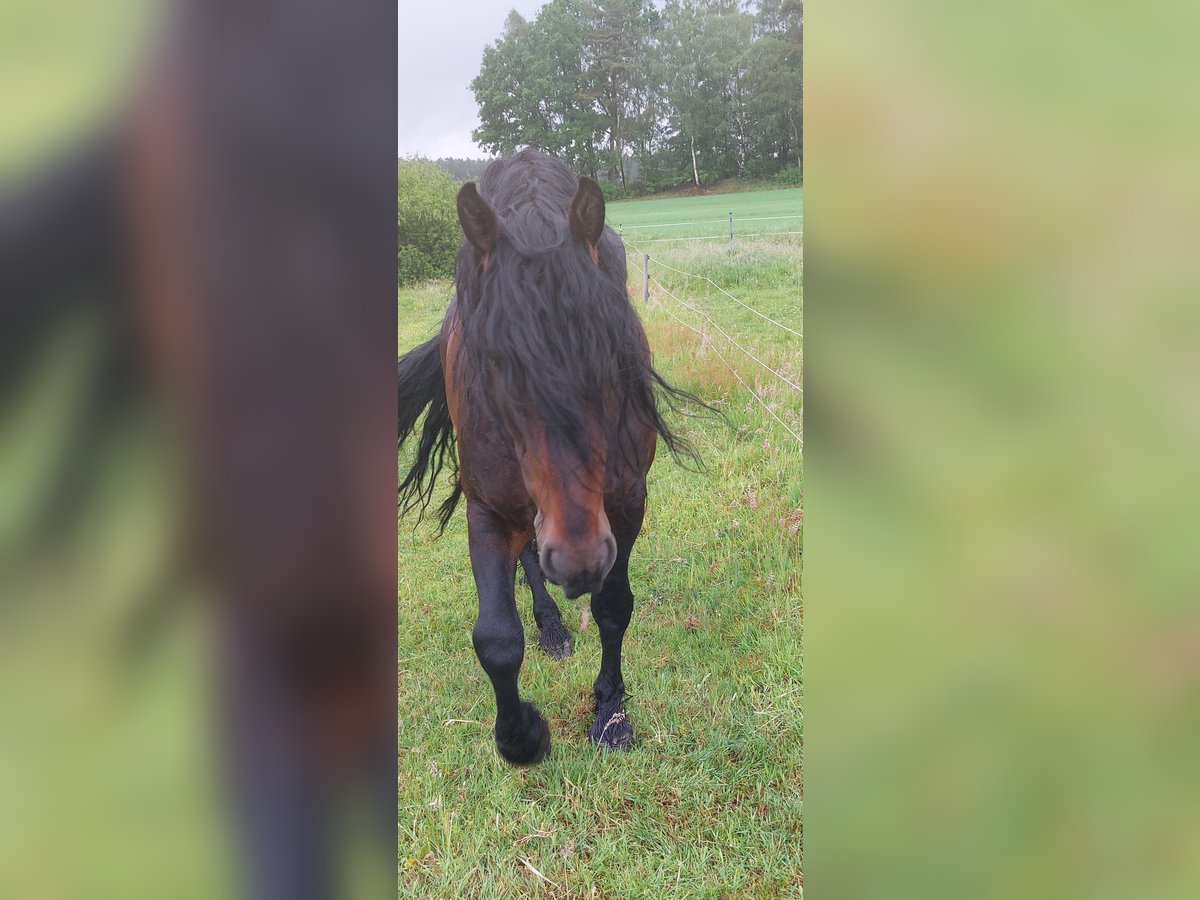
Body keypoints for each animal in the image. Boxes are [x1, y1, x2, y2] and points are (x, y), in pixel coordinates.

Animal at [398, 150, 700, 768]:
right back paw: (552, 627)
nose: (578, 561)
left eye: (611, 348)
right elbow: (495, 637)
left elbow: (614, 606)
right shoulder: (487, 508)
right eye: (492, 360)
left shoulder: (626, 501)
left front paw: (609, 713)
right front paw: (522, 736)